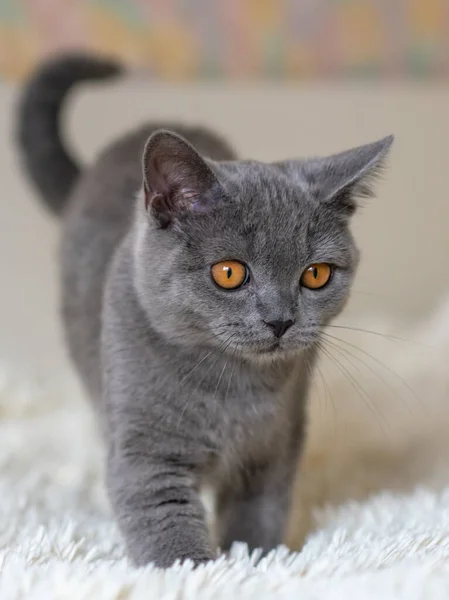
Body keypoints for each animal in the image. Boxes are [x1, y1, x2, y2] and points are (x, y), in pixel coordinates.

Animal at [15, 54, 390, 568]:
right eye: (229, 273)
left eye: (315, 275)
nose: (280, 320)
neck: (231, 387)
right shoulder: (146, 453)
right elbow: (164, 523)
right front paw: (194, 569)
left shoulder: (276, 445)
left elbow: (260, 512)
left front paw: (254, 561)